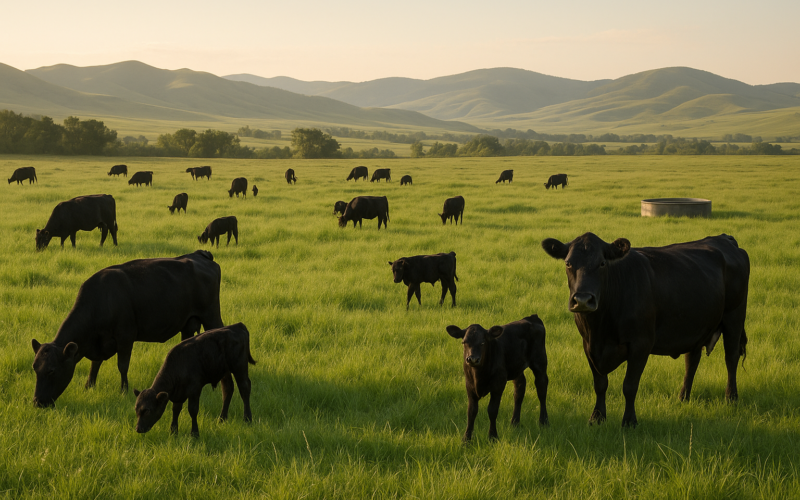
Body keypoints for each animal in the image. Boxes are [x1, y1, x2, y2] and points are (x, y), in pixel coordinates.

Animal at [30, 250, 224, 407]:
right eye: (35, 368)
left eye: (51, 370)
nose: (37, 402)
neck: (102, 299)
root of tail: (199, 254)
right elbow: (95, 365)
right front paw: (89, 386)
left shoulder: (125, 337)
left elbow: (122, 366)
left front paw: (124, 390)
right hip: (188, 324)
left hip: (211, 315)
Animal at [541, 232, 750, 427]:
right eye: (568, 263)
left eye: (602, 263)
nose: (583, 300)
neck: (599, 328)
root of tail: (724, 238)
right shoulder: (588, 345)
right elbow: (600, 384)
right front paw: (597, 418)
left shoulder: (641, 344)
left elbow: (629, 385)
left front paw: (629, 421)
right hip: (696, 325)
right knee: (691, 360)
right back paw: (683, 398)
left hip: (734, 316)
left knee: (731, 357)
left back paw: (731, 398)